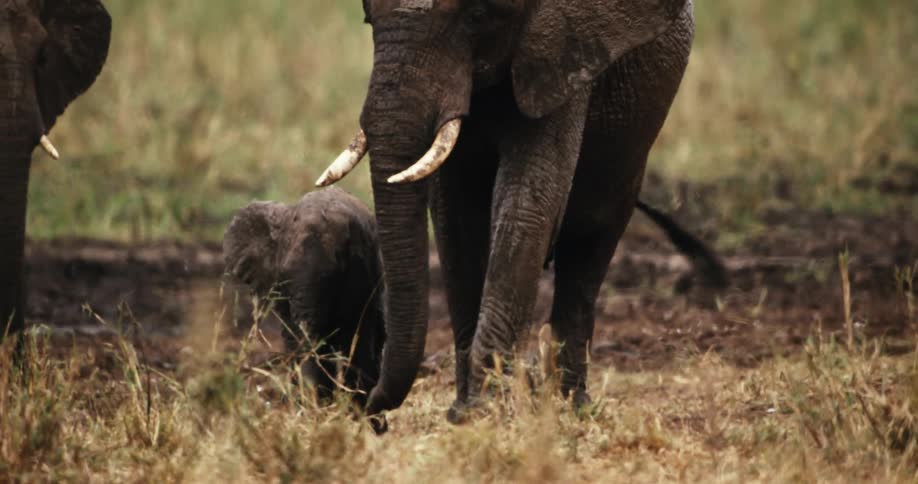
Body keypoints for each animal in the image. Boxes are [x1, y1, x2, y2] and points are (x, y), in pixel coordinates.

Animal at [313, 0, 698, 419]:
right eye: (368, 17)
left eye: (478, 15)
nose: (367, 404)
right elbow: (455, 219)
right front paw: (464, 411)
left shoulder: (561, 59)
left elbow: (525, 207)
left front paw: (485, 410)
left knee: (592, 243)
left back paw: (573, 406)